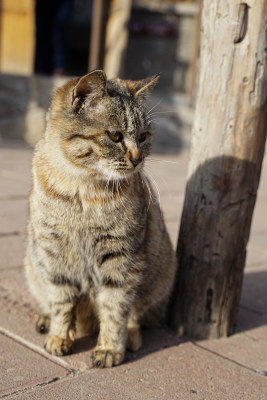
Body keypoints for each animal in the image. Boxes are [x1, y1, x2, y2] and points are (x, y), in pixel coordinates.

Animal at [24, 70, 176, 368]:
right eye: (115, 135)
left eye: (143, 136)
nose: (138, 159)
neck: (83, 191)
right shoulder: (55, 255)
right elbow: (61, 302)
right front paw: (59, 336)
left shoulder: (121, 259)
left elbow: (114, 308)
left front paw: (109, 348)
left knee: (137, 315)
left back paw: (130, 338)